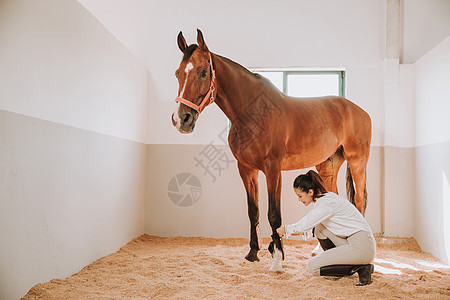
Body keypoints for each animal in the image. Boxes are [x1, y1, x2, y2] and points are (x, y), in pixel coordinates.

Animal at [171, 29, 370, 270]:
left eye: (203, 72)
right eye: (177, 73)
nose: (181, 119)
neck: (253, 113)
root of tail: (358, 110)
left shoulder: (273, 169)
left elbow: (274, 214)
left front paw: (277, 258)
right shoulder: (246, 169)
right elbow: (253, 210)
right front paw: (253, 252)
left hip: (357, 160)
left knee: (359, 199)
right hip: (328, 165)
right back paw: (320, 249)